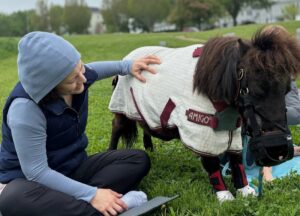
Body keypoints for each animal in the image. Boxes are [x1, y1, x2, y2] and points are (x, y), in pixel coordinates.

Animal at [109, 27, 300, 202]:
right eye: (253, 90)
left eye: (286, 90)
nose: (278, 149)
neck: (209, 83)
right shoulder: (201, 131)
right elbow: (211, 162)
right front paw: (224, 195)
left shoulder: (233, 128)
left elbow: (236, 158)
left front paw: (244, 189)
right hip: (121, 108)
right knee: (117, 127)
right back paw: (111, 152)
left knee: (145, 126)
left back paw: (150, 149)